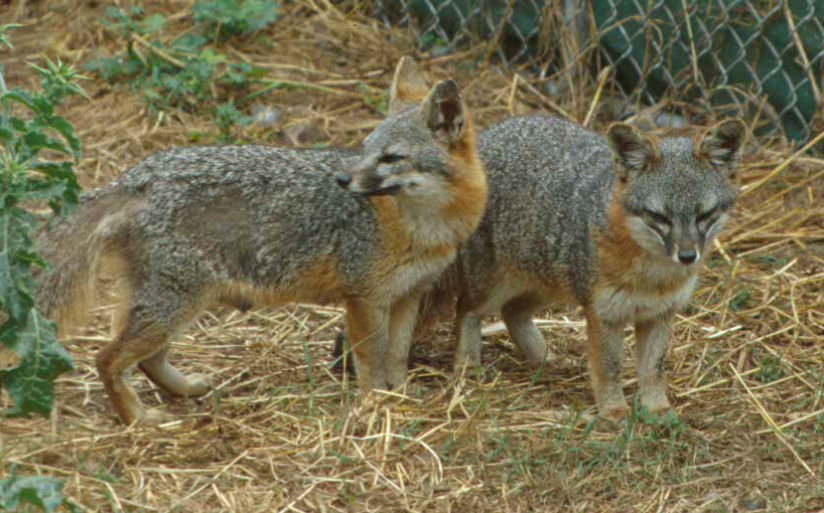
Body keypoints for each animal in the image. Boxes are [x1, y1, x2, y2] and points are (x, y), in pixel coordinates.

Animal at [36, 57, 487, 425]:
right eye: (364, 150)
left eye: (391, 158)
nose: (342, 180)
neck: (423, 228)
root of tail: (136, 176)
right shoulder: (364, 299)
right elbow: (371, 362)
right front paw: (375, 405)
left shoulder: (409, 295)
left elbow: (396, 355)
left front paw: (400, 395)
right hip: (175, 304)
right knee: (107, 358)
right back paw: (139, 419)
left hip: (184, 304)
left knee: (148, 358)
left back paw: (185, 390)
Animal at [335, 114, 746, 420]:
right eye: (659, 217)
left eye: (705, 215)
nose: (688, 256)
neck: (653, 276)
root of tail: (489, 137)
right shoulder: (603, 314)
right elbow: (609, 366)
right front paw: (613, 411)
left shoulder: (661, 314)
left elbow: (653, 367)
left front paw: (657, 410)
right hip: (496, 284)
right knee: (467, 310)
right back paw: (468, 368)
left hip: (546, 282)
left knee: (513, 313)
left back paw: (545, 357)